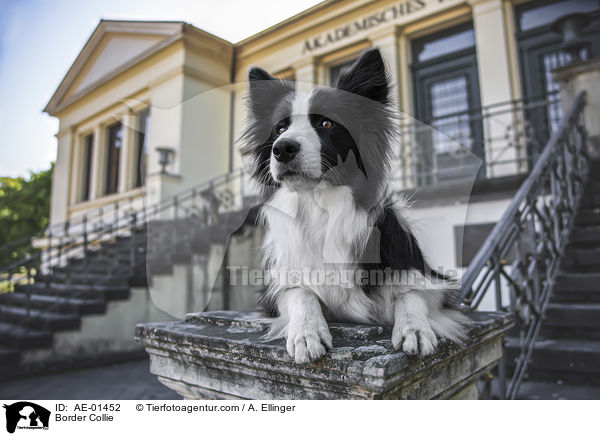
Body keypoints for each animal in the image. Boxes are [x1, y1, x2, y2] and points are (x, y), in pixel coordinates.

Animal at [241, 47, 466, 362]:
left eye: (326, 123)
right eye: (280, 128)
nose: (282, 149)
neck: (321, 205)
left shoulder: (432, 281)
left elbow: (412, 293)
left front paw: (415, 327)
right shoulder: (276, 288)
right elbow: (300, 292)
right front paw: (307, 332)